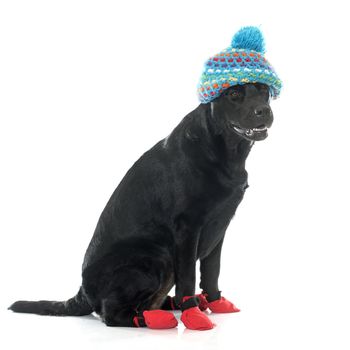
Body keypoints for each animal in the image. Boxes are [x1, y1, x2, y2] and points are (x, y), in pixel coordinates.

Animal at [8, 82, 274, 330]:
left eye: (263, 90)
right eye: (233, 94)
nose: (263, 111)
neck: (224, 149)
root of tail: (82, 292)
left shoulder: (219, 226)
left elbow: (212, 271)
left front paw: (215, 301)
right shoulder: (188, 228)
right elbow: (189, 277)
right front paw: (193, 314)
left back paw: (171, 305)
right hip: (157, 256)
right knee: (111, 314)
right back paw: (154, 319)